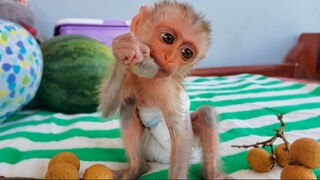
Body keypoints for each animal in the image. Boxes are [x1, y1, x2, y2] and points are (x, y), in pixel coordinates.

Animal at [99, 0, 221, 179]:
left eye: (186, 53)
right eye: (168, 38)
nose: (169, 58)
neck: (149, 78)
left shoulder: (165, 88)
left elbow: (181, 139)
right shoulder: (131, 77)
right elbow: (107, 109)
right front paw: (124, 49)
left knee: (205, 114)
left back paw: (211, 173)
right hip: (148, 147)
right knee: (128, 105)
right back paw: (137, 169)